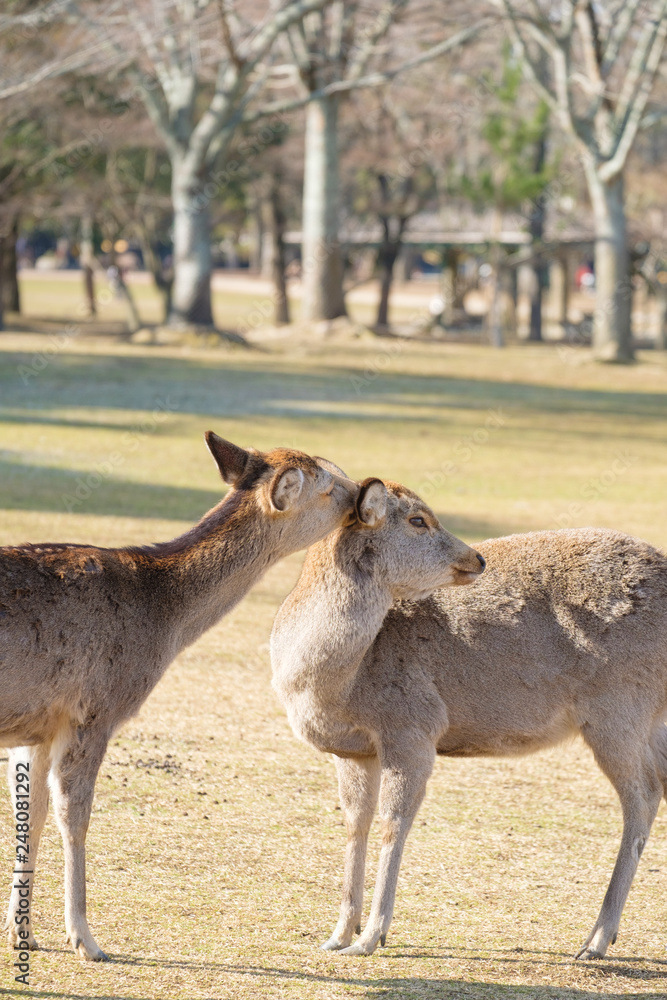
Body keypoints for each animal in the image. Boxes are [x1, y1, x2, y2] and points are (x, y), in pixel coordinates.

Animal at [1, 433, 359, 961]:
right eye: (330, 486)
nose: (365, 493)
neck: (162, 618)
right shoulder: (95, 708)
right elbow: (74, 815)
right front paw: (86, 939)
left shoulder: (40, 722)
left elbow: (31, 812)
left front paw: (21, 933)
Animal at [271, 477, 667, 961]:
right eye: (417, 519)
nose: (476, 558)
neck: (337, 685)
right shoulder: (351, 749)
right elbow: (355, 822)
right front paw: (337, 935)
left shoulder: (413, 726)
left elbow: (394, 822)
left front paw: (370, 938)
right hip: (649, 719)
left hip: (620, 709)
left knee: (644, 795)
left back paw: (594, 942)